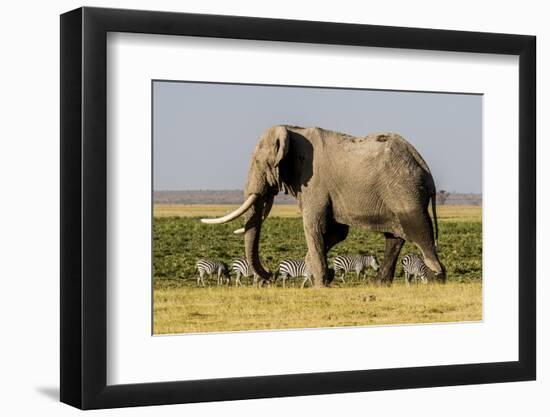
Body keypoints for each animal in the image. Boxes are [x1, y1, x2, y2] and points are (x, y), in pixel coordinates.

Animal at [203, 124, 448, 286]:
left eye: (258, 162)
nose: (270, 275)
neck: (292, 130)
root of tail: (425, 168)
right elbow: (337, 232)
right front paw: (317, 274)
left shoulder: (314, 182)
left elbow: (314, 227)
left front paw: (320, 284)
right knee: (395, 237)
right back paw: (379, 284)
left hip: (405, 191)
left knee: (418, 231)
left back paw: (437, 278)